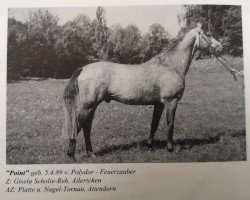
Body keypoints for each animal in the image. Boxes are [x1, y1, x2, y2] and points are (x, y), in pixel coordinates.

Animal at [61, 23, 222, 159]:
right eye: (208, 34)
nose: (220, 47)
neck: (171, 65)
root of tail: (83, 69)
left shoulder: (159, 104)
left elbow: (154, 124)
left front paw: (150, 146)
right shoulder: (171, 101)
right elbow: (170, 124)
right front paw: (170, 148)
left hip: (92, 107)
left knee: (86, 127)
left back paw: (91, 153)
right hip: (88, 106)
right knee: (78, 125)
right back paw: (72, 155)